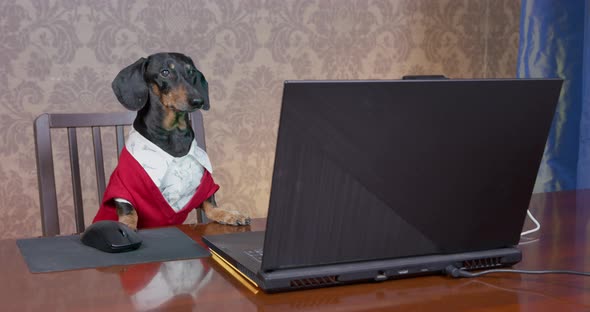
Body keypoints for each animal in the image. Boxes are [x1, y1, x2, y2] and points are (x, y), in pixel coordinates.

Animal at [93, 52, 252, 229]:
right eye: (165, 72)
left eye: (191, 71)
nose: (198, 101)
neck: (173, 134)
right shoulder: (124, 185)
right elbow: (129, 212)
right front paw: (126, 226)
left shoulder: (204, 185)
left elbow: (211, 206)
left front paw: (230, 214)